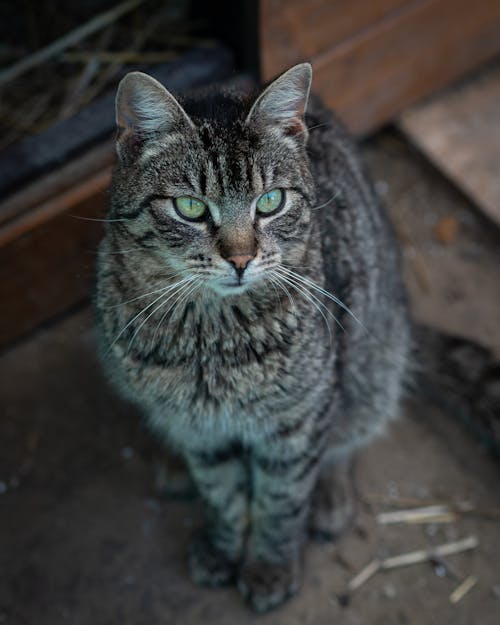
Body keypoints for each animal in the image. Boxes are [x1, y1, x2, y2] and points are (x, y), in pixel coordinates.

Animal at [95, 63, 412, 608]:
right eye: (190, 207)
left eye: (271, 201)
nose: (241, 259)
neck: (210, 335)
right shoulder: (199, 428)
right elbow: (221, 493)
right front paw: (223, 547)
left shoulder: (297, 420)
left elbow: (280, 501)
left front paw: (270, 567)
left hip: (373, 359)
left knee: (349, 432)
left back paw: (330, 498)